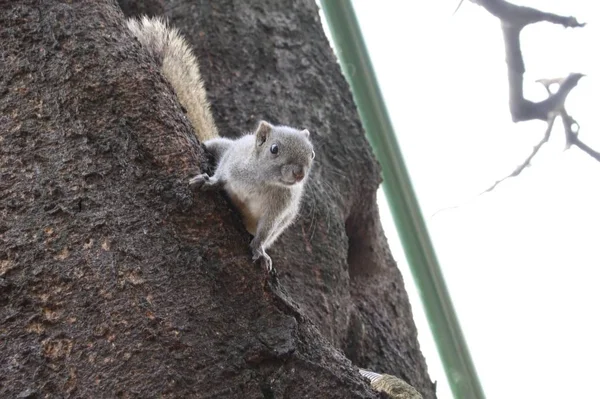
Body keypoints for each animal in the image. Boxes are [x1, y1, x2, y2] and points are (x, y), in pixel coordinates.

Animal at [126, 16, 314, 272]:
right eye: (274, 149)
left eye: (312, 154)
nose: (299, 174)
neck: (264, 181)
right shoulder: (234, 162)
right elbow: (223, 173)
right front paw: (211, 181)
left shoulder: (279, 209)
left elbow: (266, 231)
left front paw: (260, 250)